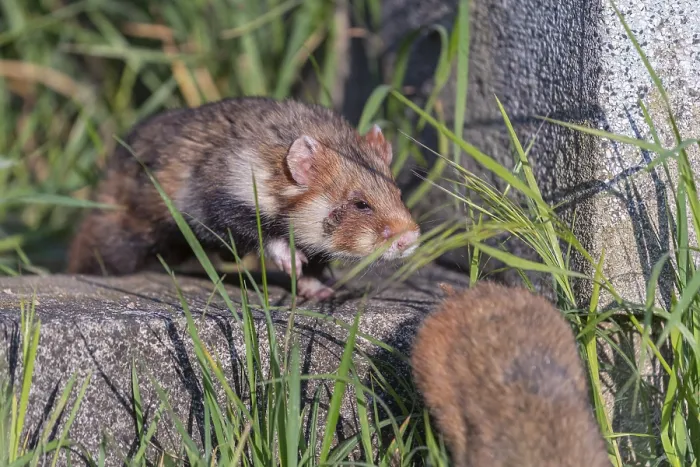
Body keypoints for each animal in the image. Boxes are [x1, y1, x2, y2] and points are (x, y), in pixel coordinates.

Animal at [67, 97, 421, 300]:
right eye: (361, 203)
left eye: (397, 191)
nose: (411, 238)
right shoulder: (215, 206)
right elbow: (259, 233)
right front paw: (290, 259)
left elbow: (315, 266)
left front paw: (320, 291)